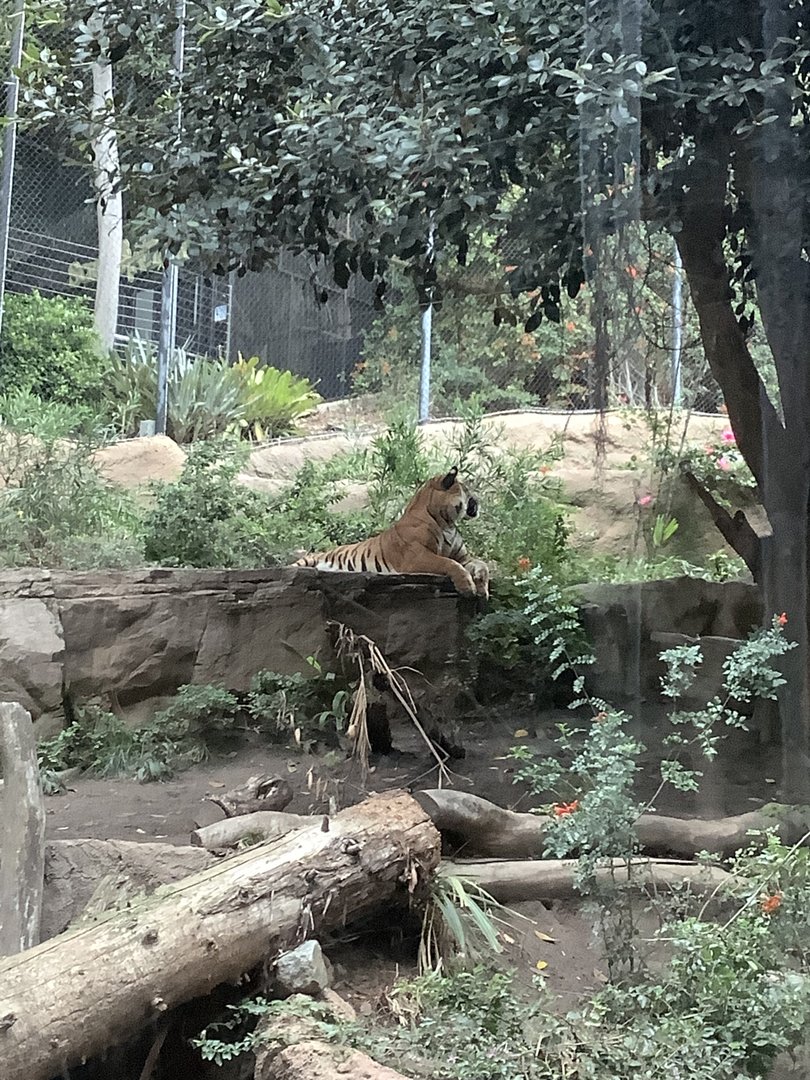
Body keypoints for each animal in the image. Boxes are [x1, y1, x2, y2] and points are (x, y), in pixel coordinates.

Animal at [292, 466, 490, 598]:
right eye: (466, 490)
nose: (479, 500)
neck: (447, 523)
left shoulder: (463, 557)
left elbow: (482, 565)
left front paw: (482, 587)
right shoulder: (417, 556)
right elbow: (448, 563)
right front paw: (467, 587)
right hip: (305, 561)